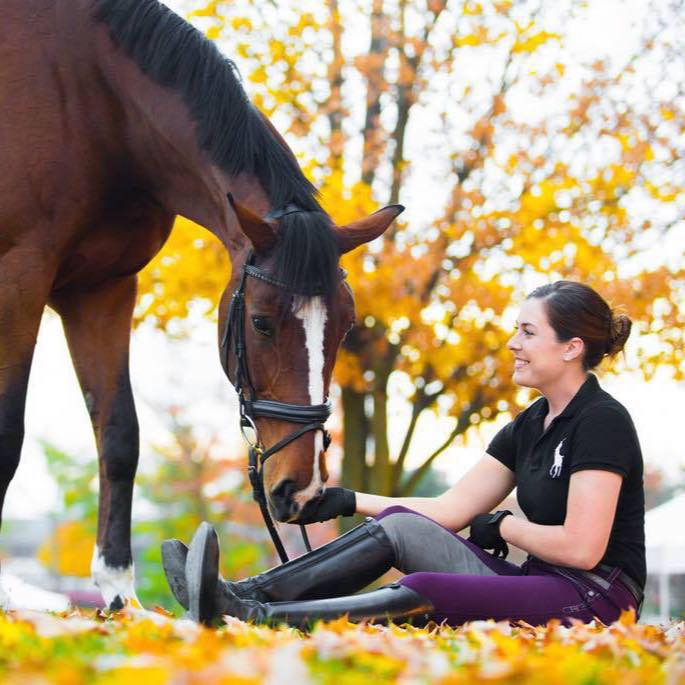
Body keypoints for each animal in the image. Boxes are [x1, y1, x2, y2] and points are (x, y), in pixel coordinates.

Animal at [0, 0, 400, 608]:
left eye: (346, 328)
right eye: (260, 322)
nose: (301, 489)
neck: (94, 102)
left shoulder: (104, 287)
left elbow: (120, 435)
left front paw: (119, 596)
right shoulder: (20, 275)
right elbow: (6, 433)